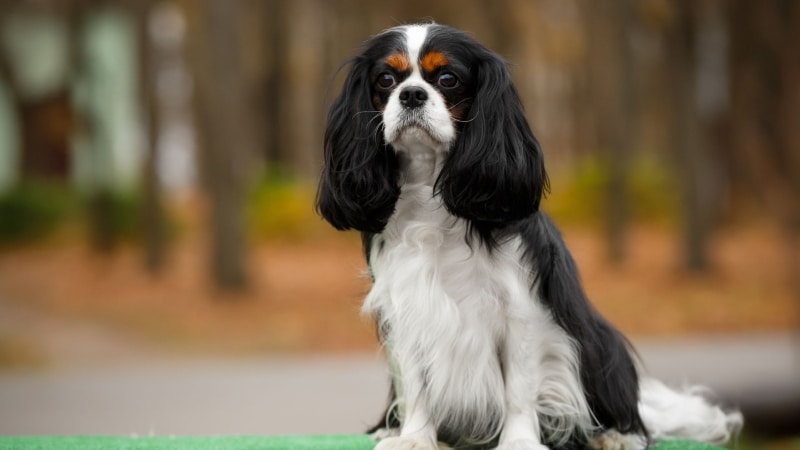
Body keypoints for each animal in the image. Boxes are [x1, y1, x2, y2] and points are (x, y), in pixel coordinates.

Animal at [316, 23, 740, 450]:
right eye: (386, 80)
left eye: (448, 79)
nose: (412, 94)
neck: (431, 189)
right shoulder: (407, 309)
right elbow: (416, 383)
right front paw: (415, 438)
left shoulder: (522, 312)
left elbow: (518, 387)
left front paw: (518, 440)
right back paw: (392, 426)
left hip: (602, 346)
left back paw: (615, 435)